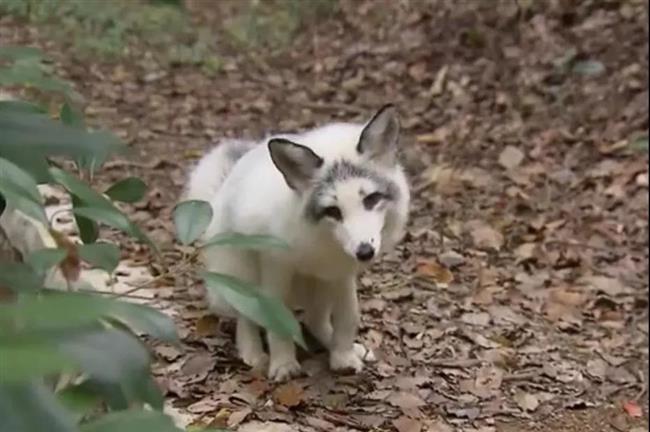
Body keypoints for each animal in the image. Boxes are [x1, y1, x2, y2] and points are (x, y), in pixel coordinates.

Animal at [182, 105, 408, 382]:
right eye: (333, 211)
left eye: (372, 199)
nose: (364, 251)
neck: (320, 240)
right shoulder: (275, 267)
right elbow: (277, 323)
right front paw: (283, 364)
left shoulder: (341, 273)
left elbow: (348, 317)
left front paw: (343, 356)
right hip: (241, 276)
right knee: (246, 318)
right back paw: (252, 354)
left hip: (320, 285)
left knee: (315, 319)